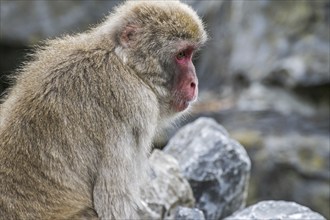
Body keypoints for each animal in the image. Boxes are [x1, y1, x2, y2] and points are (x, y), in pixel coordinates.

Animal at [0, 0, 206, 219]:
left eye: (190, 54)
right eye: (181, 55)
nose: (194, 83)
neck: (126, 64)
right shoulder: (137, 104)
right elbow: (111, 204)